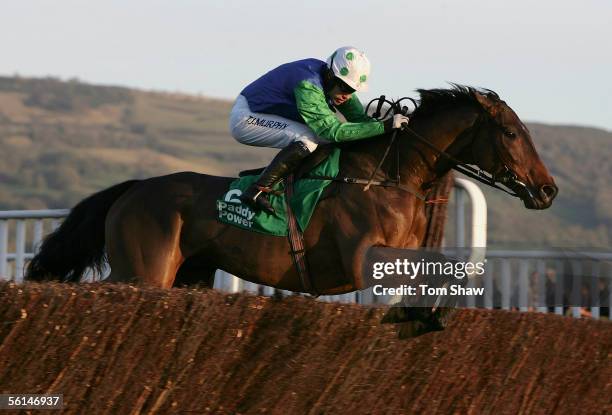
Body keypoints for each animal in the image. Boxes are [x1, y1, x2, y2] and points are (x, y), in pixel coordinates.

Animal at [26, 84, 556, 300]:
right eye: (512, 133)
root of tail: (132, 190)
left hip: (190, 274)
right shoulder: (367, 259)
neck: (385, 176)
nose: (548, 190)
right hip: (143, 271)